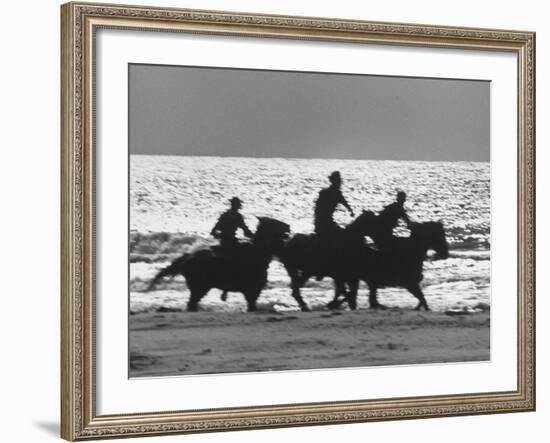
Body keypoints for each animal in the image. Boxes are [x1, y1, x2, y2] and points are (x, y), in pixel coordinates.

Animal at [147, 218, 294, 312]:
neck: (257, 253)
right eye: (276, 226)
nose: (288, 226)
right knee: (192, 303)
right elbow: (251, 305)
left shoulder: (252, 292)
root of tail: (188, 257)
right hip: (199, 287)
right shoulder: (252, 291)